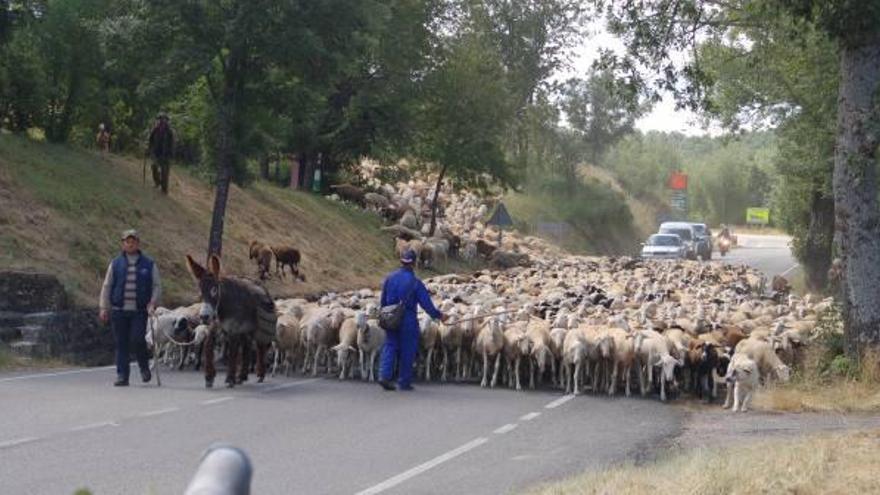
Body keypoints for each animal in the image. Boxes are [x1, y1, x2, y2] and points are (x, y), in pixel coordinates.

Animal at [187, 258, 276, 390]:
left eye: (214, 289)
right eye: (201, 291)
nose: (204, 317)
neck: (223, 306)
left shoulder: (233, 329)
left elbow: (233, 351)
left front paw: (229, 379)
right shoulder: (215, 325)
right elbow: (208, 346)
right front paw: (209, 377)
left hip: (258, 328)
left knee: (260, 347)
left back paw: (260, 374)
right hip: (245, 330)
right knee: (246, 347)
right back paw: (242, 376)